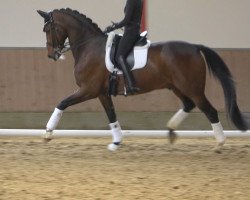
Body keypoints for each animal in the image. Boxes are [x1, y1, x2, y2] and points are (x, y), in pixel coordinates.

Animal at [37, 8, 248, 151]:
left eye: (48, 29)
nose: (51, 55)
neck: (89, 46)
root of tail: (195, 47)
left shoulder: (88, 89)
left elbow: (62, 103)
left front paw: (47, 133)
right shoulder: (102, 93)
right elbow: (111, 116)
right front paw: (116, 142)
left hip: (193, 88)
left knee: (209, 110)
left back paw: (219, 143)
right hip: (176, 86)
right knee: (189, 105)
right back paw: (171, 131)